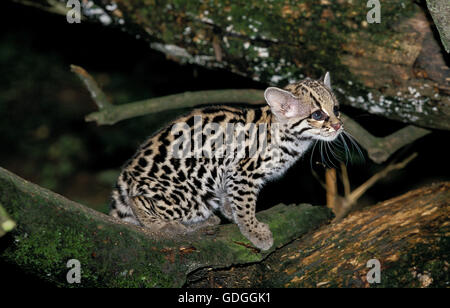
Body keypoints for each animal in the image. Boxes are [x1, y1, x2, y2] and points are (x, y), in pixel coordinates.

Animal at [110, 72, 342, 250]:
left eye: (336, 109)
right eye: (318, 114)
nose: (339, 125)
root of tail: (125, 177)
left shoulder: (229, 174)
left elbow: (231, 196)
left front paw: (230, 210)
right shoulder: (243, 172)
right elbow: (245, 204)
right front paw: (253, 230)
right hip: (189, 195)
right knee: (138, 200)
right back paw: (165, 225)